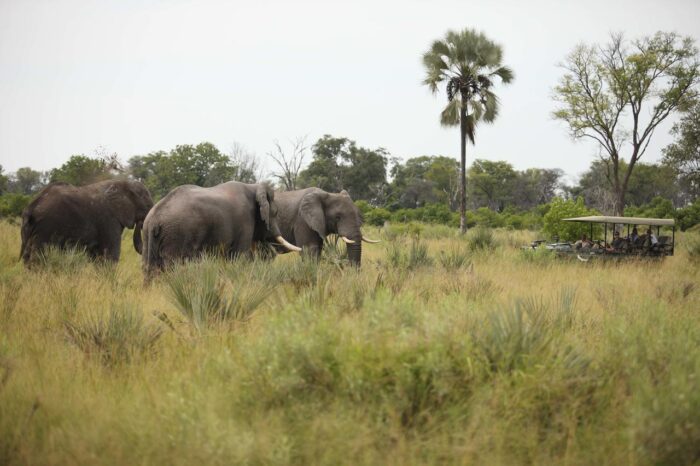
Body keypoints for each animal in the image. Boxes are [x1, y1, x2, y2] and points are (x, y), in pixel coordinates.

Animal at [20, 179, 153, 264]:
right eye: (146, 203)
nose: (140, 222)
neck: (122, 183)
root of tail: (32, 206)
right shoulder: (108, 220)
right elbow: (110, 256)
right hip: (46, 227)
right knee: (39, 257)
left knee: (27, 257)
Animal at [141, 180, 300, 278]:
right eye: (275, 213)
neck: (253, 187)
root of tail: (155, 218)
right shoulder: (245, 220)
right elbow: (240, 256)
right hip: (176, 234)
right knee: (172, 267)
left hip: (148, 235)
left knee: (148, 267)